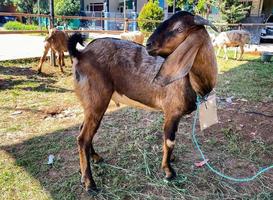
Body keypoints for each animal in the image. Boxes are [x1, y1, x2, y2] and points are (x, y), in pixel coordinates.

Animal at [67, 10, 217, 194]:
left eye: (179, 28)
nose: (149, 44)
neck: (193, 81)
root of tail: (80, 54)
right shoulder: (172, 111)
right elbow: (170, 140)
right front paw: (168, 171)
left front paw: (171, 160)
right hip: (97, 100)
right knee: (83, 138)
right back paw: (89, 182)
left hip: (89, 103)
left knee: (84, 131)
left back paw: (93, 160)